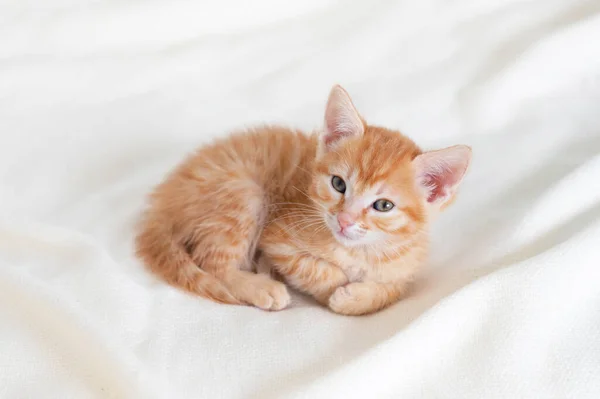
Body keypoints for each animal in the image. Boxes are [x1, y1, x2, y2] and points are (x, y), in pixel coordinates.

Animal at [134, 84, 472, 316]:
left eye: (383, 205)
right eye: (338, 184)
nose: (345, 220)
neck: (361, 251)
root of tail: (164, 200)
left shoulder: (405, 268)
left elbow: (392, 291)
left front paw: (357, 298)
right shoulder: (278, 238)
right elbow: (317, 269)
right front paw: (334, 290)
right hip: (243, 192)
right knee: (213, 263)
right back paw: (261, 285)